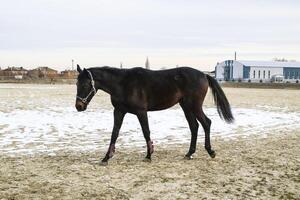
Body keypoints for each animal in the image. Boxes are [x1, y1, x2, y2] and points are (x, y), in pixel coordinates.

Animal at [75, 65, 234, 165]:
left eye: (86, 84)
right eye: (77, 84)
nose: (79, 106)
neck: (123, 84)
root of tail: (204, 75)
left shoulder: (141, 111)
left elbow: (146, 132)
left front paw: (149, 155)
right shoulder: (119, 111)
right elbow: (114, 133)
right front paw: (106, 158)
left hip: (194, 106)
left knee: (206, 123)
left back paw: (210, 151)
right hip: (186, 107)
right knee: (194, 126)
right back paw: (189, 153)